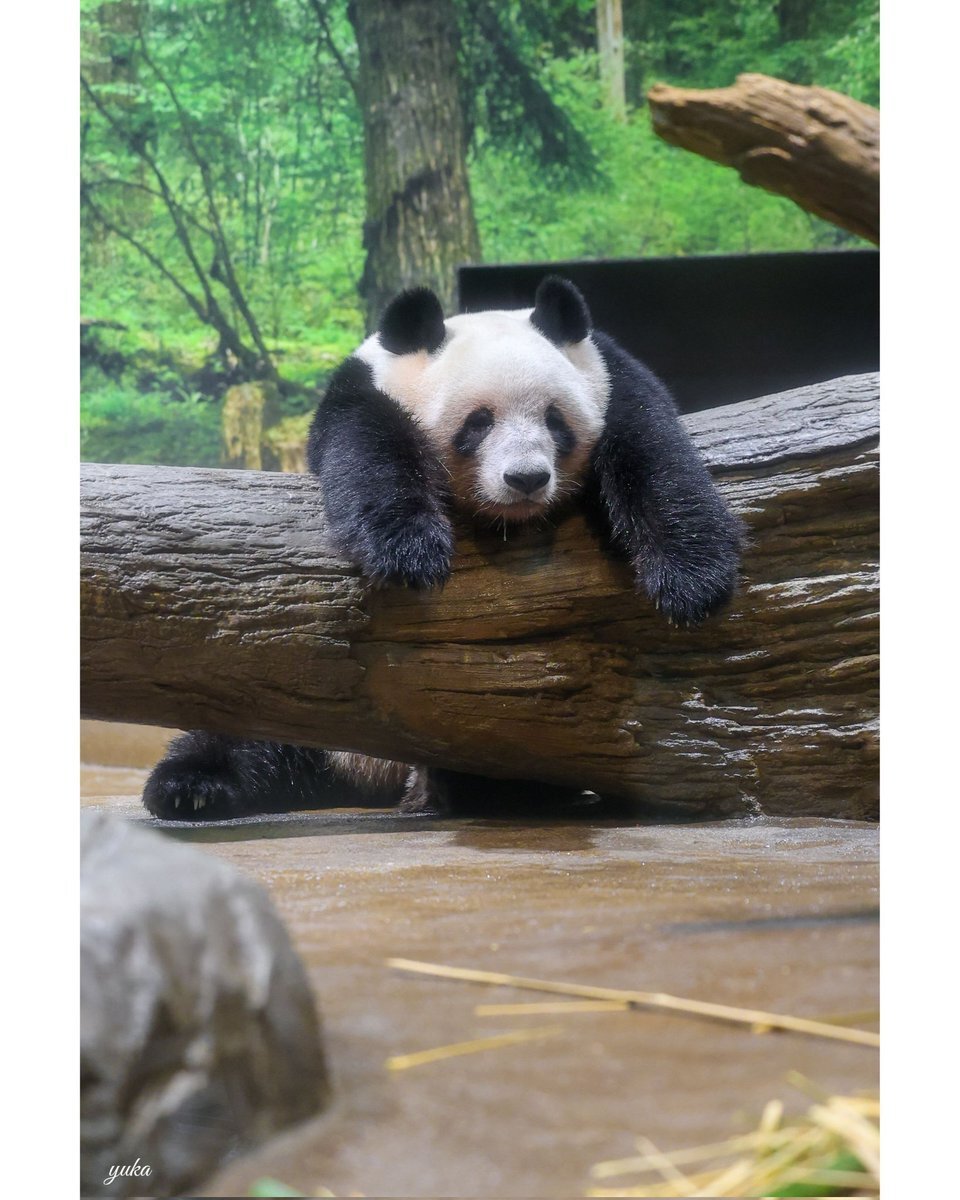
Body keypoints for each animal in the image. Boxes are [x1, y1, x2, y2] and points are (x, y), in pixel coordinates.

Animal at [143, 276, 743, 819]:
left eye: (555, 420)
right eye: (477, 423)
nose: (526, 479)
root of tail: (377, 773)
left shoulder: (611, 378)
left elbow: (654, 452)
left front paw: (693, 579)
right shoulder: (365, 392)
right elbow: (368, 451)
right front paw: (411, 550)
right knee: (253, 724)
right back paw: (190, 786)